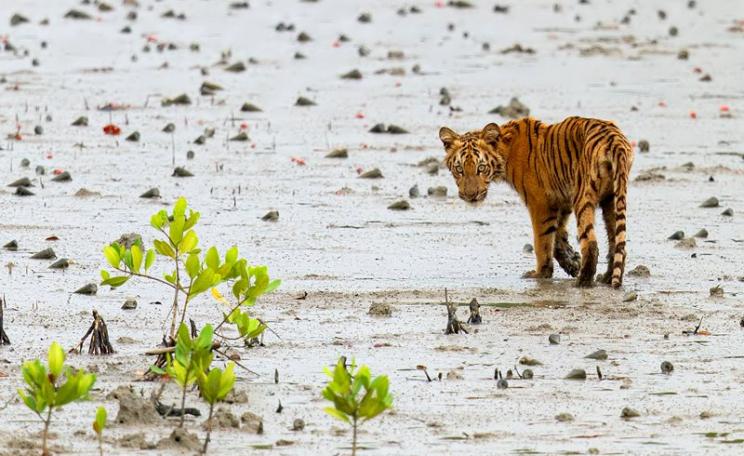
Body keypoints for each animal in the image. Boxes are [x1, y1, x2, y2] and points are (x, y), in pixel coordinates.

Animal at [438, 116, 633, 288]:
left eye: (481, 168)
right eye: (459, 169)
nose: (470, 195)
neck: (505, 151)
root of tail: (614, 140)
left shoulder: (541, 203)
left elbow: (543, 241)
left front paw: (541, 273)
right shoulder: (562, 200)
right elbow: (558, 236)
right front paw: (572, 262)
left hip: (584, 197)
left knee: (591, 242)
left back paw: (583, 282)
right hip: (612, 198)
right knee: (617, 242)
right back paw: (606, 277)